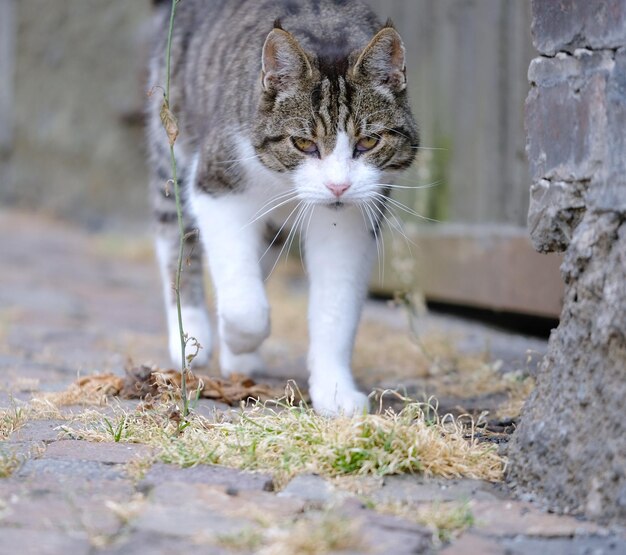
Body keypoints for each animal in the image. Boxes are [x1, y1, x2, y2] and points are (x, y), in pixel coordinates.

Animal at [147, 0, 416, 414]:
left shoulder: (352, 218)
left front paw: (334, 391)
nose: (338, 185)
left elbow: (335, 307)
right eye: (303, 143)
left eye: (369, 141)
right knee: (175, 241)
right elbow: (245, 307)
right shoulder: (217, 182)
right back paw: (192, 336)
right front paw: (236, 338)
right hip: (171, 139)